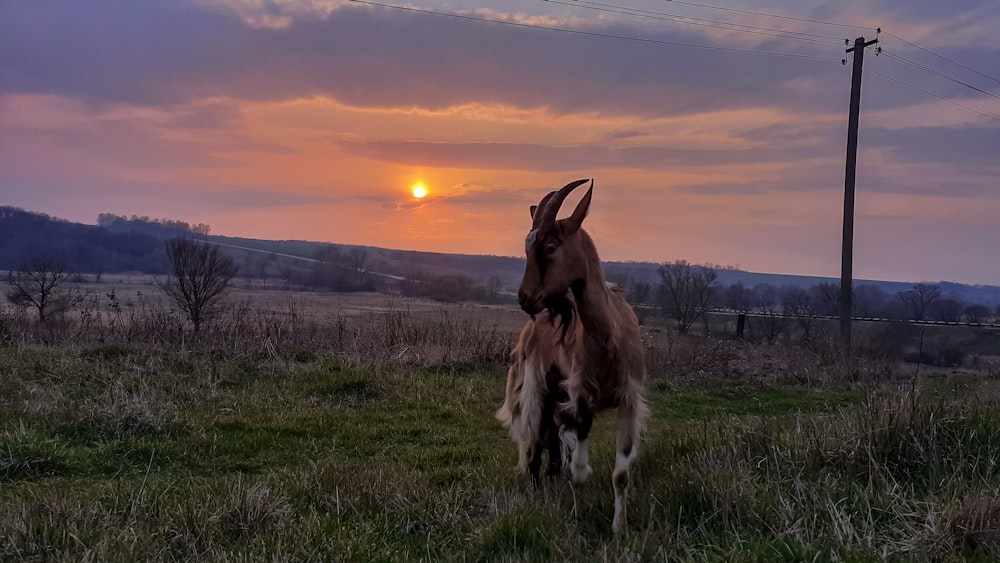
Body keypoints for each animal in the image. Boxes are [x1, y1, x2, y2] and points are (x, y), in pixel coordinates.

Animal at [494, 178, 648, 532]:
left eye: (551, 246)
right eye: (527, 249)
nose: (525, 298)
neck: (607, 339)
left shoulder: (629, 399)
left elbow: (621, 474)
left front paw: (619, 528)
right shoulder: (579, 396)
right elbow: (578, 459)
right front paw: (577, 498)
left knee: (550, 442)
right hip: (537, 388)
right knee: (535, 446)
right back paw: (538, 489)